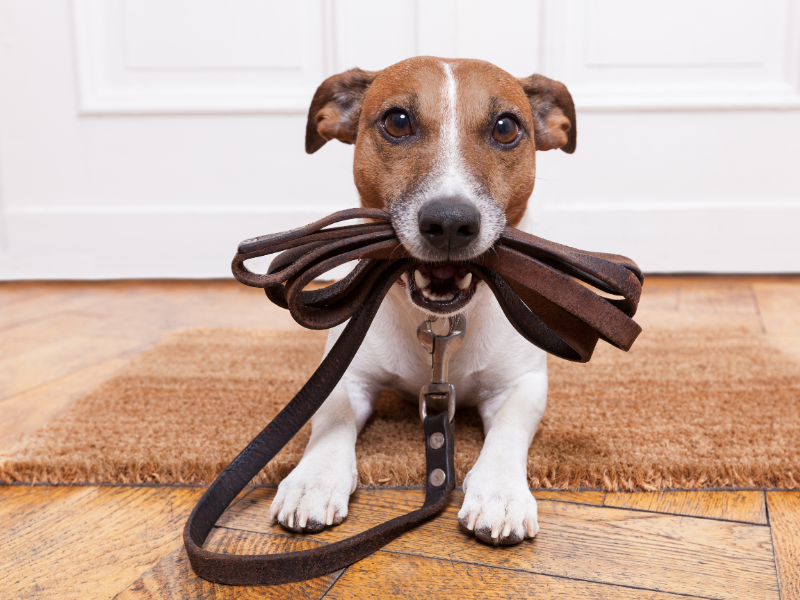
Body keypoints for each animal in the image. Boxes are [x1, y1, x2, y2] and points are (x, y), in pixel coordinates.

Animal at [268, 56, 576, 544]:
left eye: (506, 127)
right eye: (397, 121)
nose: (450, 222)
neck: (440, 322)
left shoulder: (522, 385)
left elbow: (508, 431)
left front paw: (500, 492)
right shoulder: (346, 374)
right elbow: (331, 417)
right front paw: (312, 479)